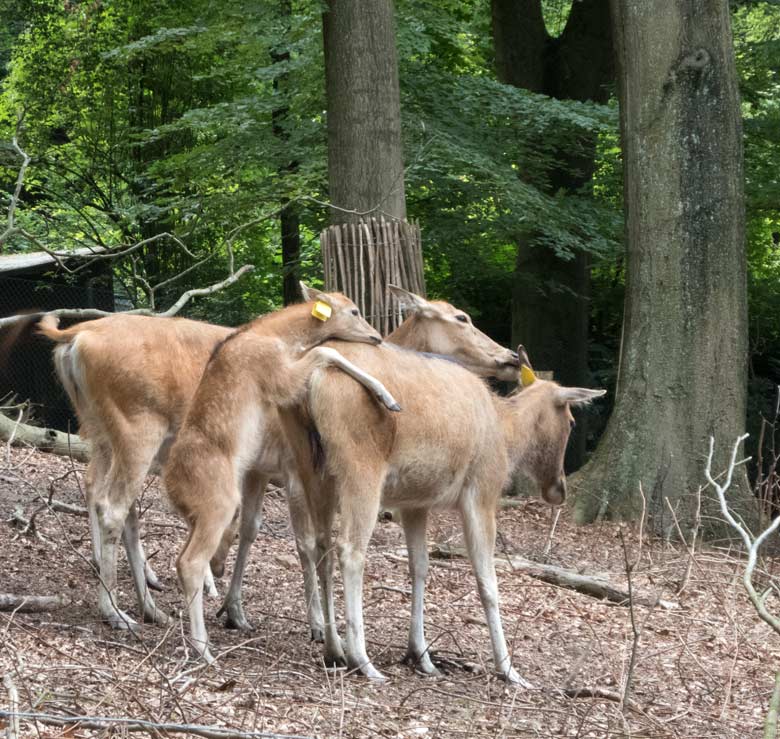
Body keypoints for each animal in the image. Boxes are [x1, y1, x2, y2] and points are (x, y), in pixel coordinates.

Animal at [35, 286, 396, 632]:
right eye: (355, 310)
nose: (378, 336)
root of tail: (74, 336)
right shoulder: (292, 465)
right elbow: (305, 543)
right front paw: (317, 625)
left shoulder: (258, 468)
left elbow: (250, 527)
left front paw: (234, 608)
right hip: (137, 429)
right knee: (114, 506)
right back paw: (116, 610)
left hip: (97, 429)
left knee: (105, 494)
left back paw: (147, 602)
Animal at [278, 344, 608, 684]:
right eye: (571, 421)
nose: (559, 489)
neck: (506, 436)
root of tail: (314, 380)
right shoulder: (482, 491)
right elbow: (487, 582)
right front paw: (509, 669)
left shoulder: (414, 503)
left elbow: (420, 567)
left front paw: (420, 655)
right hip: (360, 466)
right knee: (350, 549)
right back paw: (362, 658)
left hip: (311, 468)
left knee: (321, 547)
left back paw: (334, 649)